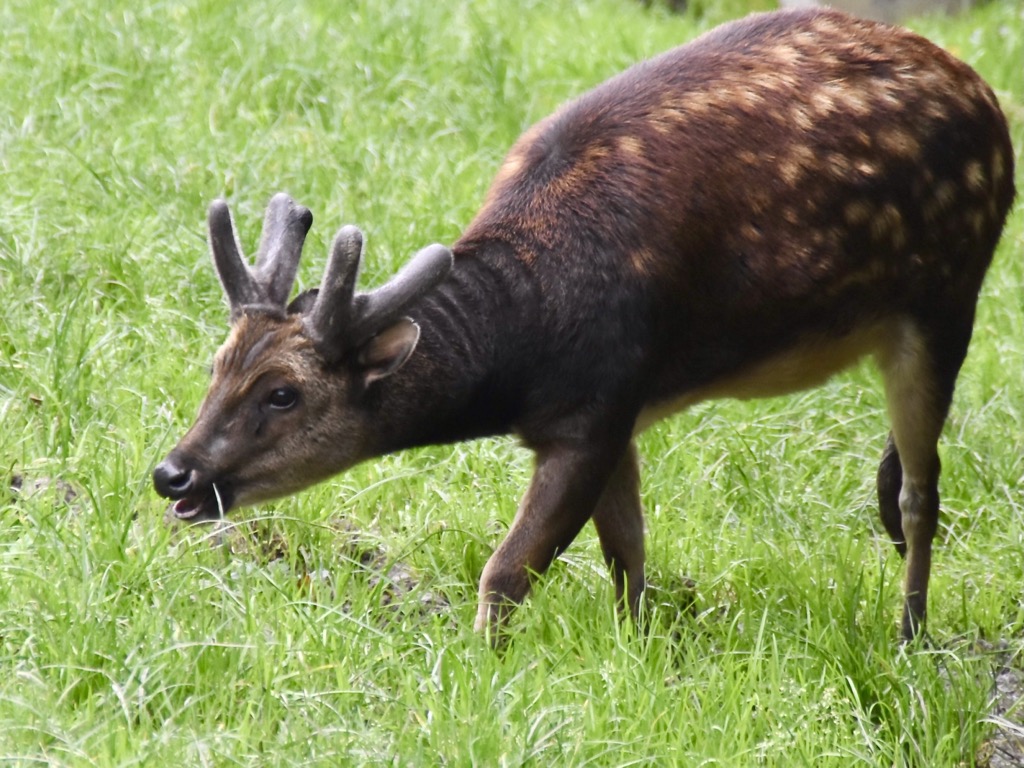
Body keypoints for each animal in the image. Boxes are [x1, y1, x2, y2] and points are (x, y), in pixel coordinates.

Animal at [154, 7, 1015, 644]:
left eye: (285, 394)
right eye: (216, 364)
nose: (174, 473)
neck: (531, 342)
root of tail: (988, 100)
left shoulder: (594, 405)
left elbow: (510, 569)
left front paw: (478, 668)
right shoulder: (617, 409)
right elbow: (626, 548)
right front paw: (641, 649)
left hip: (948, 295)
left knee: (921, 490)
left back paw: (911, 635)